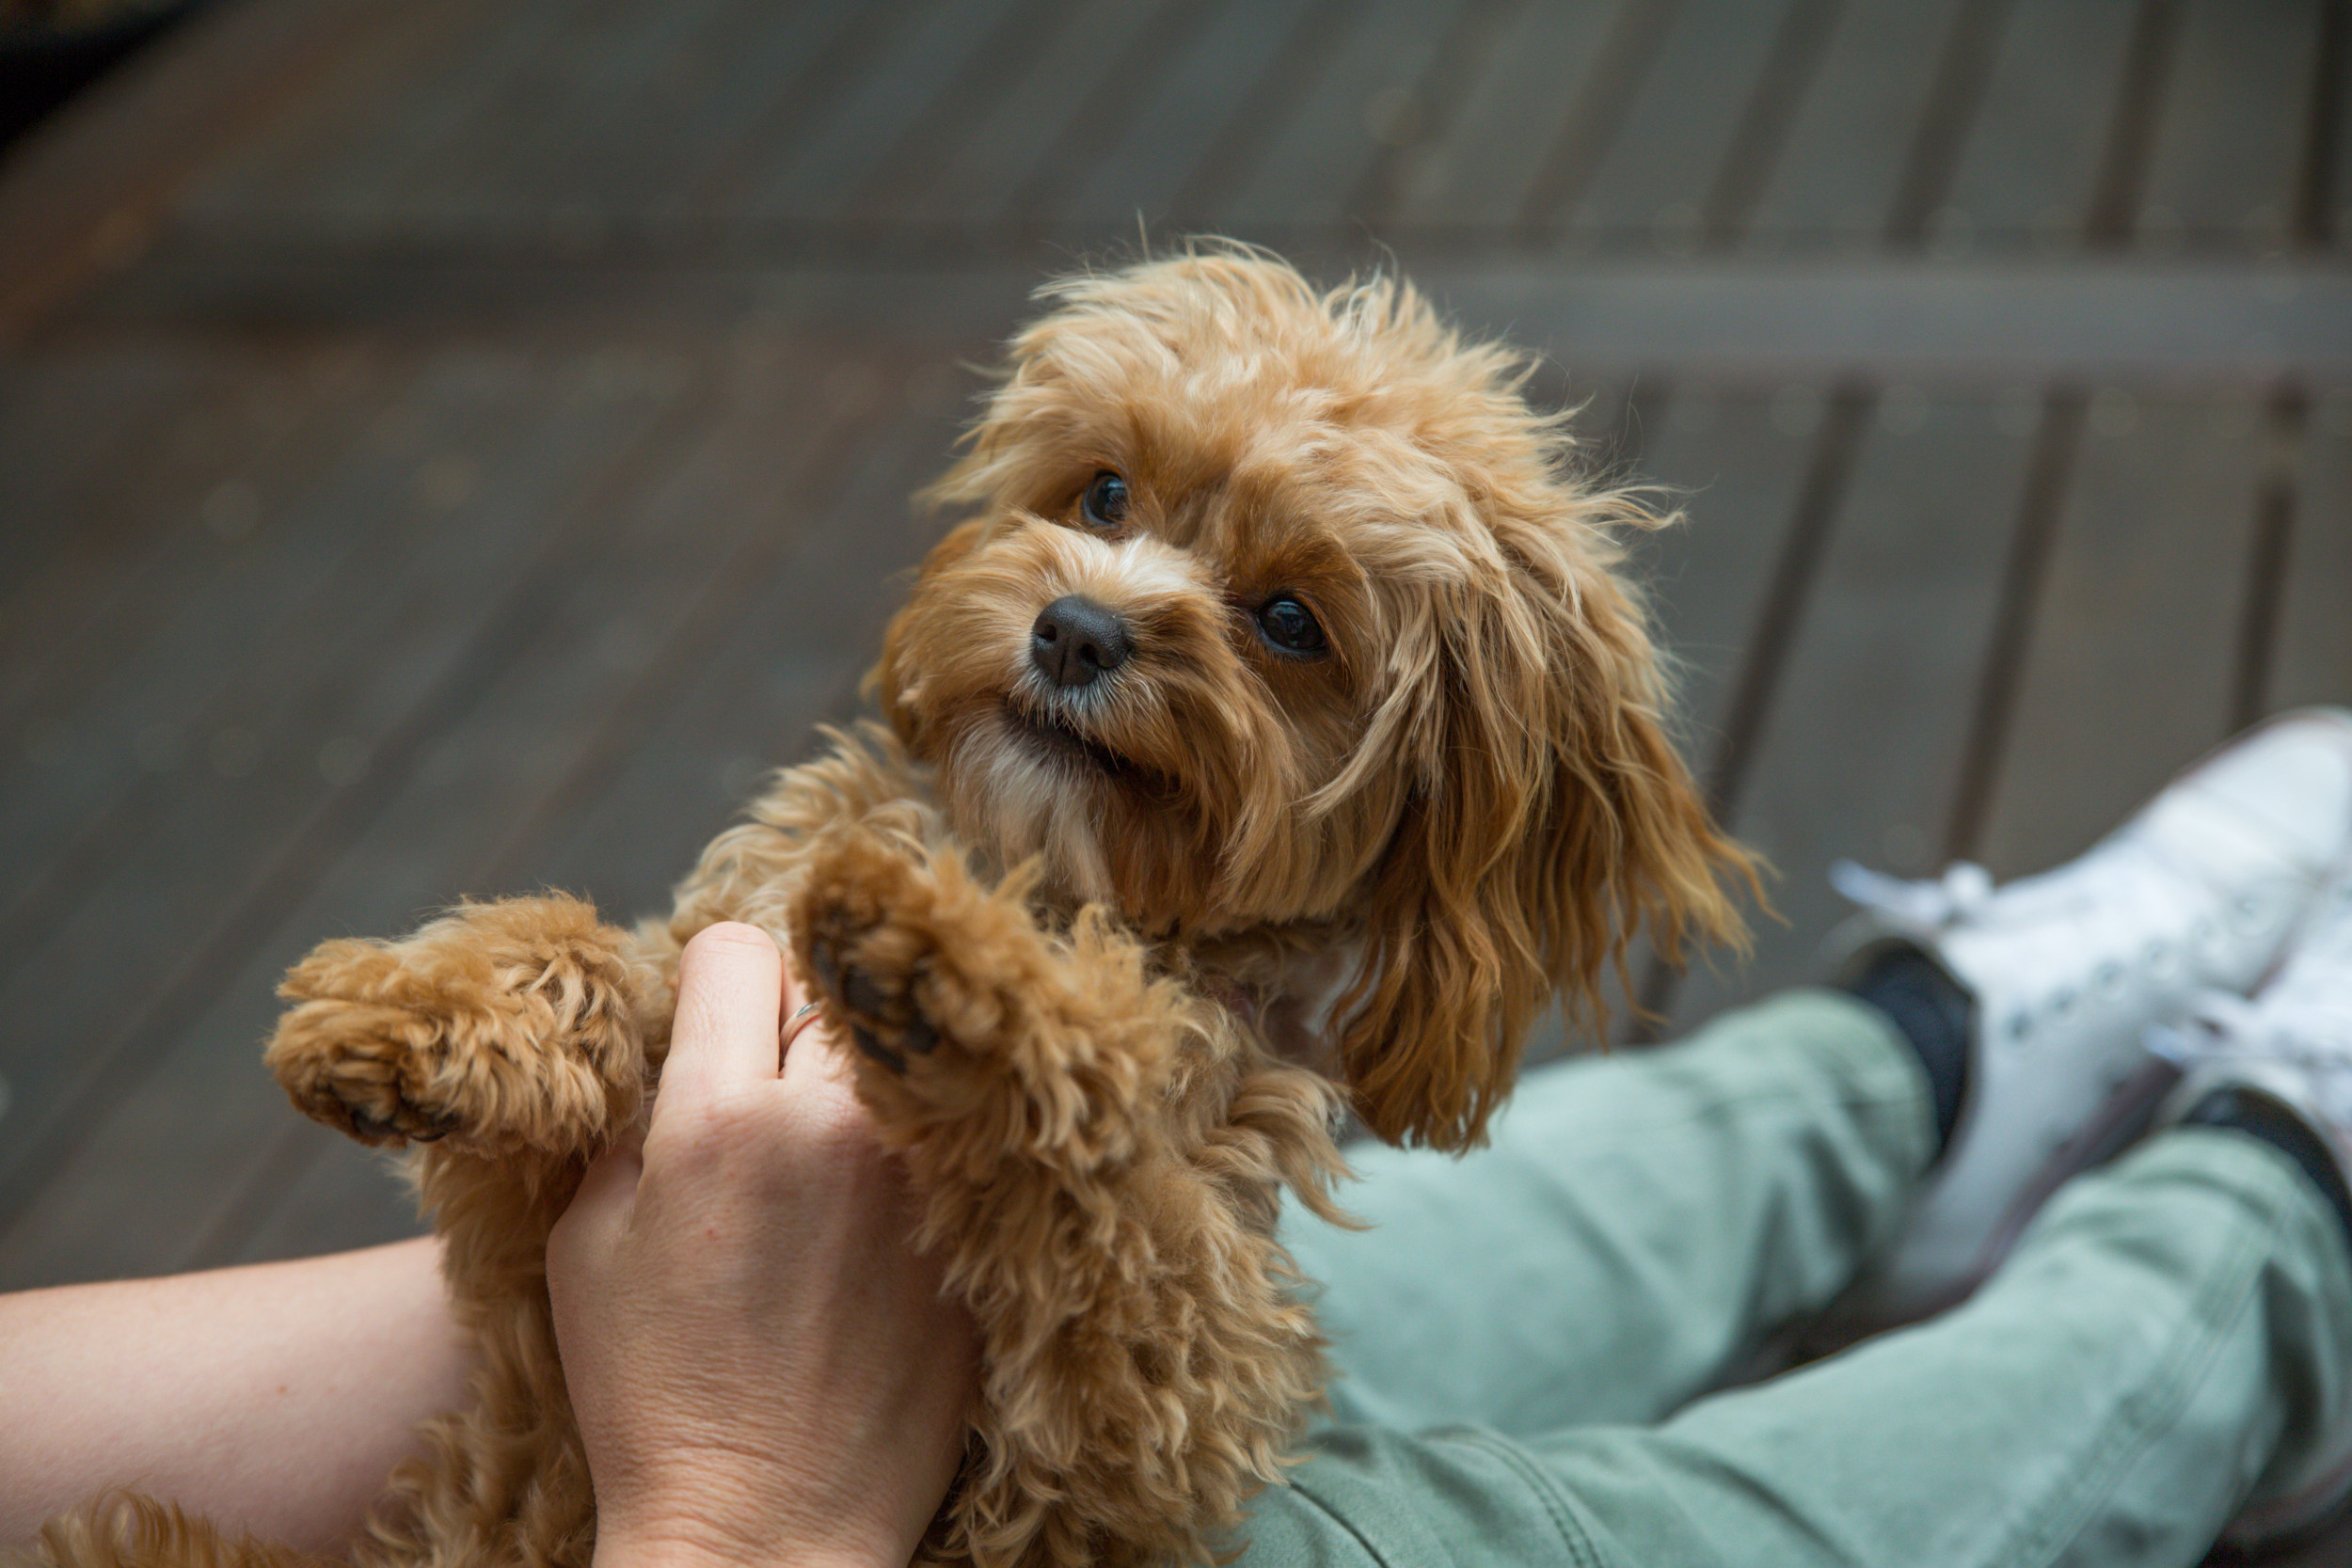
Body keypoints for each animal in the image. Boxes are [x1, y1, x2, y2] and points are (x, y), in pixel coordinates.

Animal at [32, 245, 1750, 1568]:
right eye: (1104, 489)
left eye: (1288, 621)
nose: (1076, 626)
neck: (1049, 867)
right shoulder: (533, 1249)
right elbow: (607, 966)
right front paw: (412, 1010)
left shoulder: (1135, 1430)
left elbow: (1115, 1200)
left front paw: (953, 966)